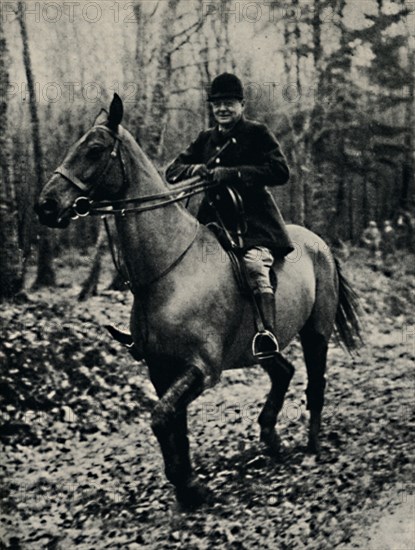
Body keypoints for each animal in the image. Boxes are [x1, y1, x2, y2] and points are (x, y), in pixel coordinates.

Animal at [35, 94, 360, 508]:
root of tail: (320, 243)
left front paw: (188, 484)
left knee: (315, 383)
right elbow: (173, 423)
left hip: (316, 332)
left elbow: (161, 418)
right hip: (261, 348)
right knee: (283, 372)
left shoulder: (201, 368)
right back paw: (271, 439)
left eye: (93, 149)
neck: (171, 268)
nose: (45, 205)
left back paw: (312, 447)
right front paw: (187, 484)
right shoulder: (162, 370)